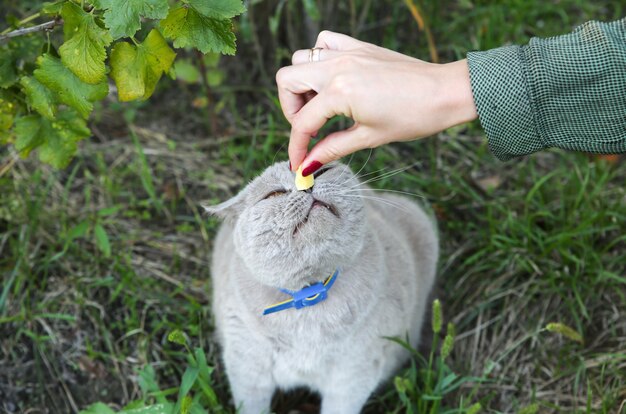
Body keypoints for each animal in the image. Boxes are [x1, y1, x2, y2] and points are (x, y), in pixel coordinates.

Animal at [204, 160, 434, 412]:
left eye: (321, 170)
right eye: (274, 194)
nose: (307, 187)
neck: (310, 294)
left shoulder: (354, 377)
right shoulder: (247, 368)